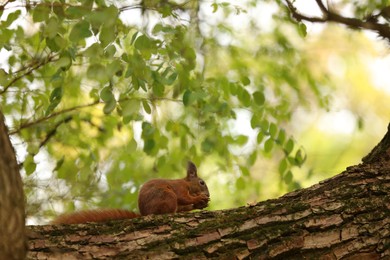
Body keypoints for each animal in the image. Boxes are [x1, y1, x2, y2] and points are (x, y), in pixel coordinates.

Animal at [53, 161, 210, 224]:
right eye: (202, 182)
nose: (208, 194)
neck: (188, 184)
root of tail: (145, 214)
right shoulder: (179, 189)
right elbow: (184, 198)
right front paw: (199, 199)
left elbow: (185, 206)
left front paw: (201, 204)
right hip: (167, 196)